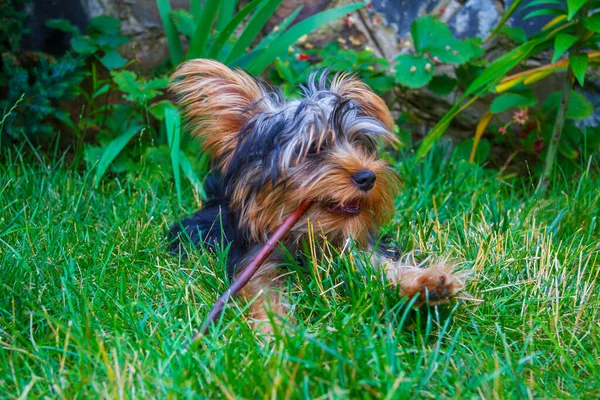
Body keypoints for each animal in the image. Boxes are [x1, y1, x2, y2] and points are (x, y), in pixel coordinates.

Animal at [166, 58, 466, 334]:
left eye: (359, 144)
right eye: (312, 149)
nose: (368, 177)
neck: (308, 233)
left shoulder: (355, 244)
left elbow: (381, 263)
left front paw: (425, 282)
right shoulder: (254, 262)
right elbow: (263, 293)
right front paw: (279, 333)